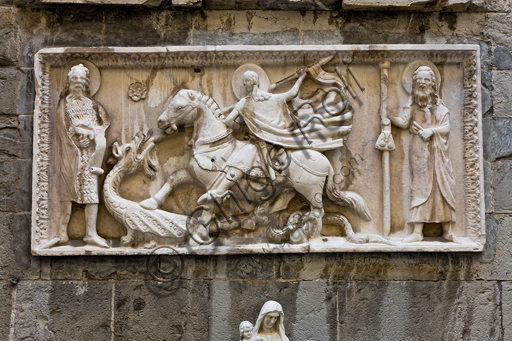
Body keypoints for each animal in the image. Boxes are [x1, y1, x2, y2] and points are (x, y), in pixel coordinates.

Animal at [142, 89, 370, 243]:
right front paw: (150, 203)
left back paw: (304, 235)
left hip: (309, 189)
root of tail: (326, 163)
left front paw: (199, 234)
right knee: (284, 205)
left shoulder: (213, 183)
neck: (213, 144)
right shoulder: (195, 175)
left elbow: (209, 203)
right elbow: (174, 178)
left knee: (317, 212)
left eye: (179, 107)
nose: (161, 123)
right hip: (288, 188)